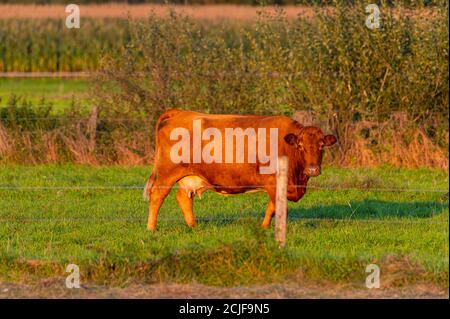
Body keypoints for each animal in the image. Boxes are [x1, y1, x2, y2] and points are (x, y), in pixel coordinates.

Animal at [142, 109, 336, 231]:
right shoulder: (273, 182)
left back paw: (193, 226)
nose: (312, 169)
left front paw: (264, 227)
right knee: (157, 195)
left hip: (189, 175)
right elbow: (277, 207)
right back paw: (151, 228)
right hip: (167, 173)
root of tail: (181, 112)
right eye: (301, 146)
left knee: (183, 197)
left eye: (321, 146)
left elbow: (271, 208)